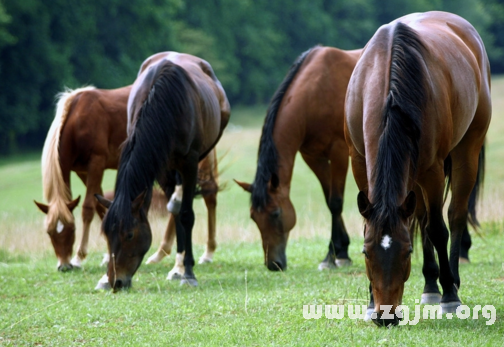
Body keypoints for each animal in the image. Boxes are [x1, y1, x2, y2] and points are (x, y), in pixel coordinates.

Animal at [34, 85, 131, 270]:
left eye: (72, 229)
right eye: (49, 232)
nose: (64, 266)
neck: (77, 122)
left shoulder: (96, 164)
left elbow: (88, 209)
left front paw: (79, 257)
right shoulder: (82, 171)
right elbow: (101, 208)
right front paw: (109, 254)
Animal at [95, 51, 231, 290]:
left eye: (129, 235)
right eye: (107, 235)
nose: (116, 281)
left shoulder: (190, 163)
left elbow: (186, 215)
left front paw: (188, 273)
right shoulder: (159, 165)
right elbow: (176, 215)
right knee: (174, 209)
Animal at [234, 46, 360, 274]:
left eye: (275, 214)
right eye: (253, 217)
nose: (273, 264)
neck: (316, 94)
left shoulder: (338, 152)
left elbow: (336, 202)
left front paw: (333, 256)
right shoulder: (313, 157)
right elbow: (329, 200)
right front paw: (340, 251)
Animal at [344, 10, 490, 326]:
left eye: (407, 251)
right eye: (366, 252)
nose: (386, 316)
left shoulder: (432, 170)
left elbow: (437, 229)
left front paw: (450, 296)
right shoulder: (359, 162)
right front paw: (370, 303)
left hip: (466, 151)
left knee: (455, 215)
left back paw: (451, 282)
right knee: (421, 217)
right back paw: (430, 285)